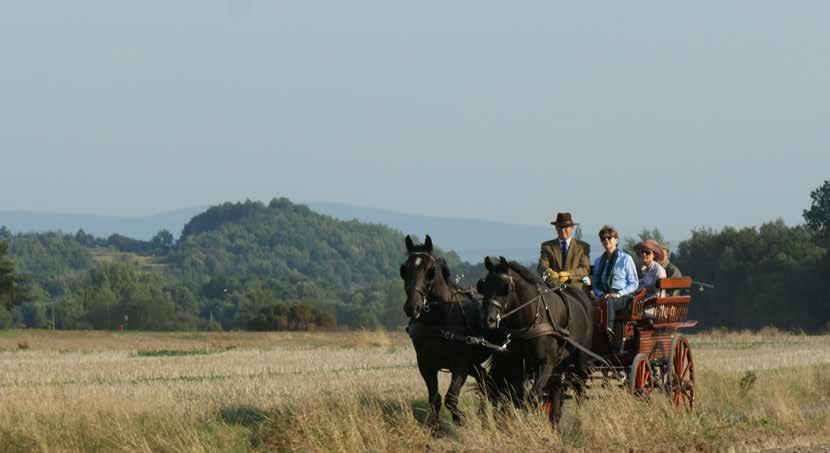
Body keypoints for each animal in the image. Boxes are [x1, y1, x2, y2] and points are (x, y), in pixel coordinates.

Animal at [404, 235, 500, 426]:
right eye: (404, 269)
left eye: (430, 270)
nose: (412, 306)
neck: (439, 320)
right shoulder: (425, 364)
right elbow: (435, 399)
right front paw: (436, 427)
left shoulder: (461, 364)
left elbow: (451, 398)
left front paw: (460, 418)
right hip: (473, 364)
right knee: (485, 382)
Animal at [478, 256, 596, 422]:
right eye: (484, 285)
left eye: (505, 286)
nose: (488, 320)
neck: (534, 318)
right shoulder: (517, 365)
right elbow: (517, 396)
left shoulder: (546, 363)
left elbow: (532, 396)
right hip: (560, 364)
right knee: (557, 388)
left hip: (581, 360)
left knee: (580, 387)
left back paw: (578, 418)